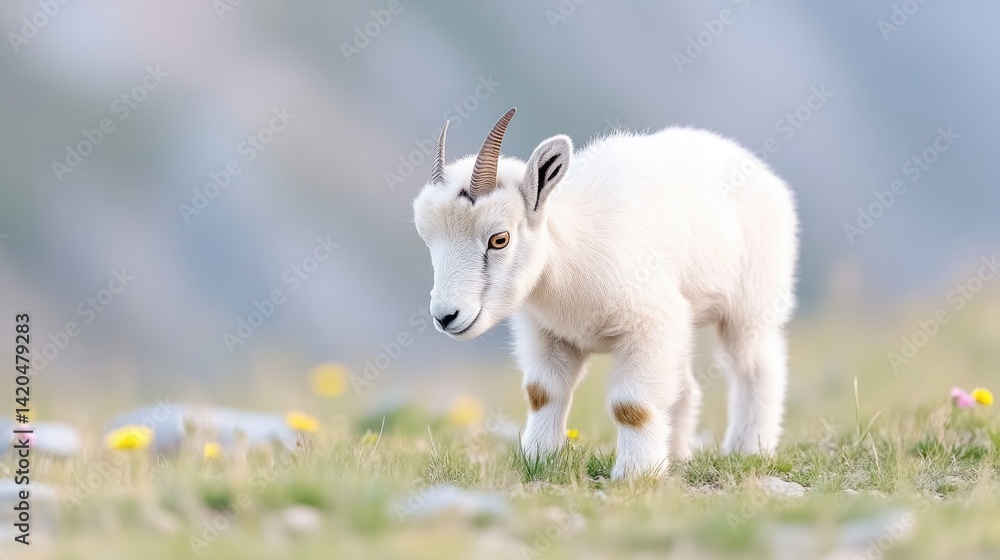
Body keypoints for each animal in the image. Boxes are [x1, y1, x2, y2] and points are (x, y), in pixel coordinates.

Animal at [412, 107, 798, 479]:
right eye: (428, 239)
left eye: (499, 238)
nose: (446, 316)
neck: (570, 257)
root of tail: (763, 174)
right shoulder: (548, 334)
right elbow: (542, 393)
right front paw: (539, 461)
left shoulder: (650, 324)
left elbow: (632, 407)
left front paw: (635, 474)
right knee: (686, 386)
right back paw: (677, 455)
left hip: (751, 306)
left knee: (758, 367)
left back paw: (749, 448)